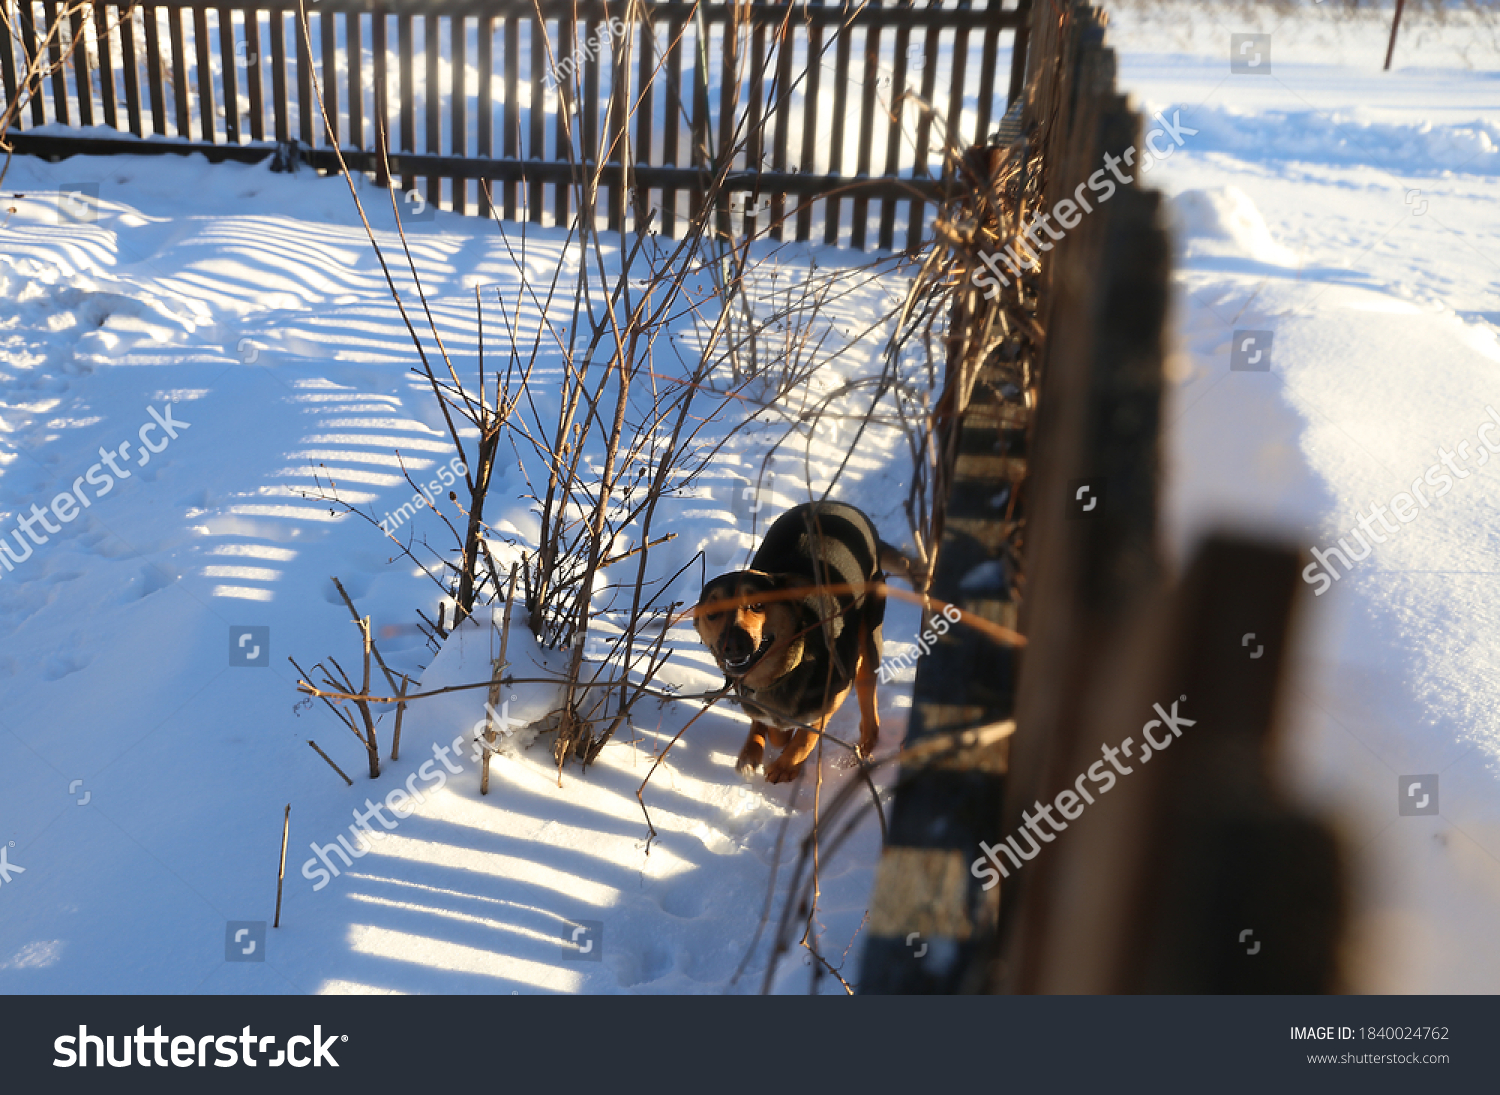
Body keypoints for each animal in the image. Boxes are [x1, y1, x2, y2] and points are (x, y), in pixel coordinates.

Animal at [690, 498, 912, 780]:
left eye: (758, 605)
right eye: (713, 613)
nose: (733, 644)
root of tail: (836, 503)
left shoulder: (836, 690)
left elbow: (808, 733)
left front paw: (787, 765)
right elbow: (768, 725)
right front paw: (759, 747)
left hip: (870, 633)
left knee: (867, 693)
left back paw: (866, 743)